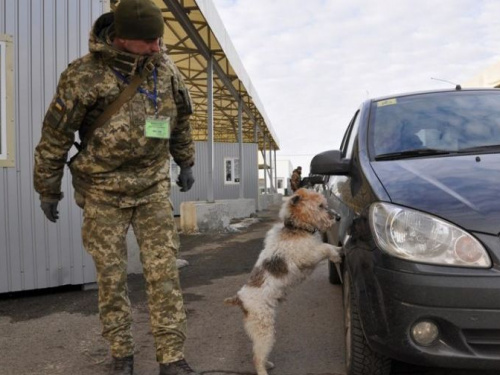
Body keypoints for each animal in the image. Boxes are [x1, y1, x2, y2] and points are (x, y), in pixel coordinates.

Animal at [225, 189, 342, 374]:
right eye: (320, 206)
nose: (338, 217)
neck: (297, 228)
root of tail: (240, 299)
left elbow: (329, 247)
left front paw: (340, 250)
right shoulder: (309, 255)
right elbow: (326, 247)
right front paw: (337, 255)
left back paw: (268, 364)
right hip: (264, 329)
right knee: (257, 356)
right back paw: (263, 369)